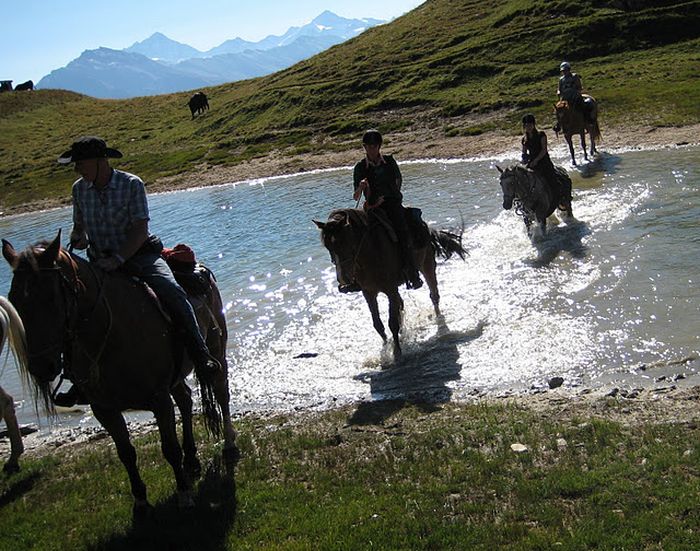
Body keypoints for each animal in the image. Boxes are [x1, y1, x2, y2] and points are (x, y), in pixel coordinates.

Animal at [0, 234, 238, 520]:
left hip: (216, 349)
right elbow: (125, 453)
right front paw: (141, 501)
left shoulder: (158, 399)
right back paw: (191, 459)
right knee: (185, 399)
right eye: (14, 299)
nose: (41, 366)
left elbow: (169, 448)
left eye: (50, 297)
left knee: (221, 392)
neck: (112, 331)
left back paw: (228, 444)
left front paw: (184, 494)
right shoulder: (104, 408)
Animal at [316, 207, 468, 358]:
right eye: (328, 246)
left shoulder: (390, 289)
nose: (344, 279)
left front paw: (396, 352)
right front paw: (385, 346)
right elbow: (378, 324)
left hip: (427, 265)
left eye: (345, 242)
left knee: (434, 295)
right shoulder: (368, 293)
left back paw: (438, 320)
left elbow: (392, 322)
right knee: (401, 304)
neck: (371, 252)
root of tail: (426, 227)